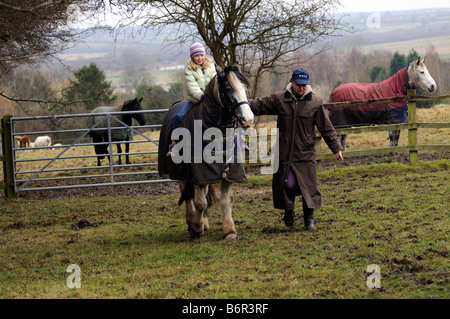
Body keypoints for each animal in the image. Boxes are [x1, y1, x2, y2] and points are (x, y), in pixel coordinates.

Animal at [158, 65, 253, 240]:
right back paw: (193, 222)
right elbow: (200, 203)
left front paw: (229, 230)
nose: (248, 119)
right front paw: (196, 227)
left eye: (245, 88)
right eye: (228, 88)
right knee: (188, 195)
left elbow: (225, 200)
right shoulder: (199, 172)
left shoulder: (228, 171)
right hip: (182, 172)